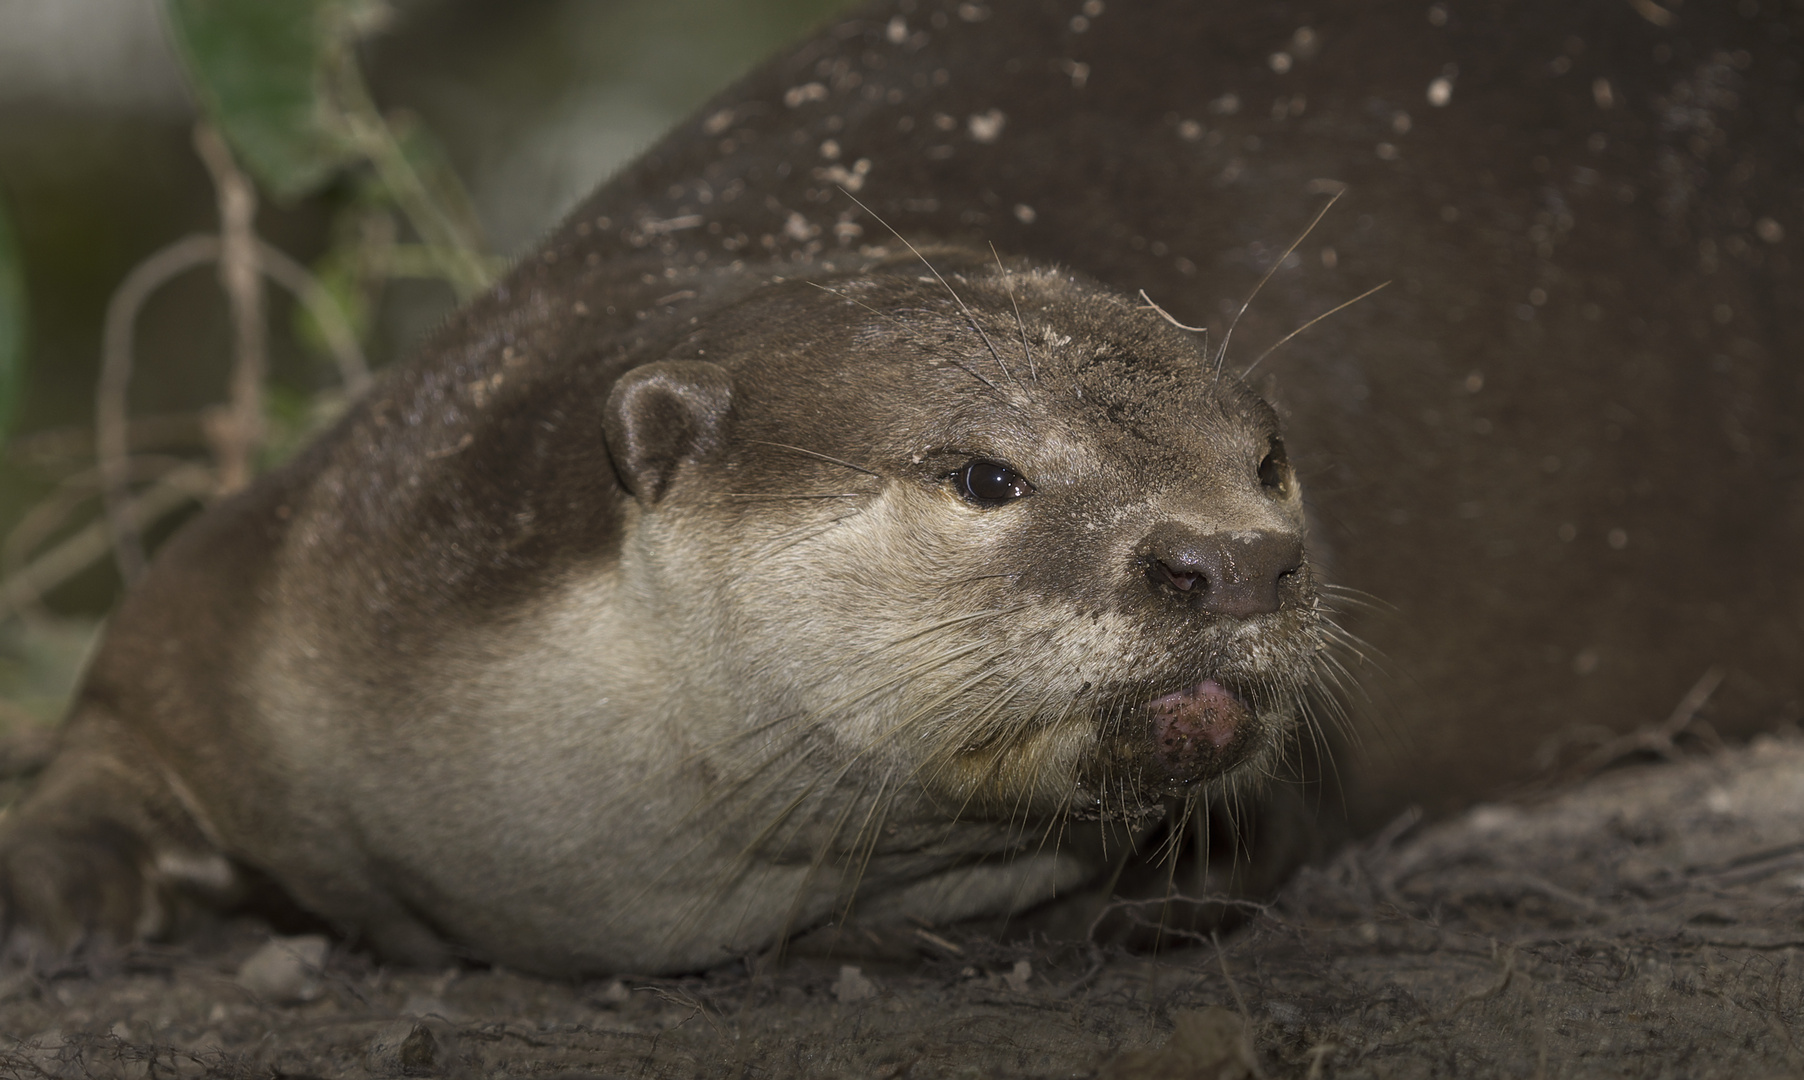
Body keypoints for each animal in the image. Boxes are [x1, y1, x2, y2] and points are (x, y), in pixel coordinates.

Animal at [0, 248, 1327, 973]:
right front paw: (58, 893)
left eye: (1267, 460)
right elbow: (116, 720)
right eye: (985, 476)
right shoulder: (287, 564)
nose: (1236, 559)